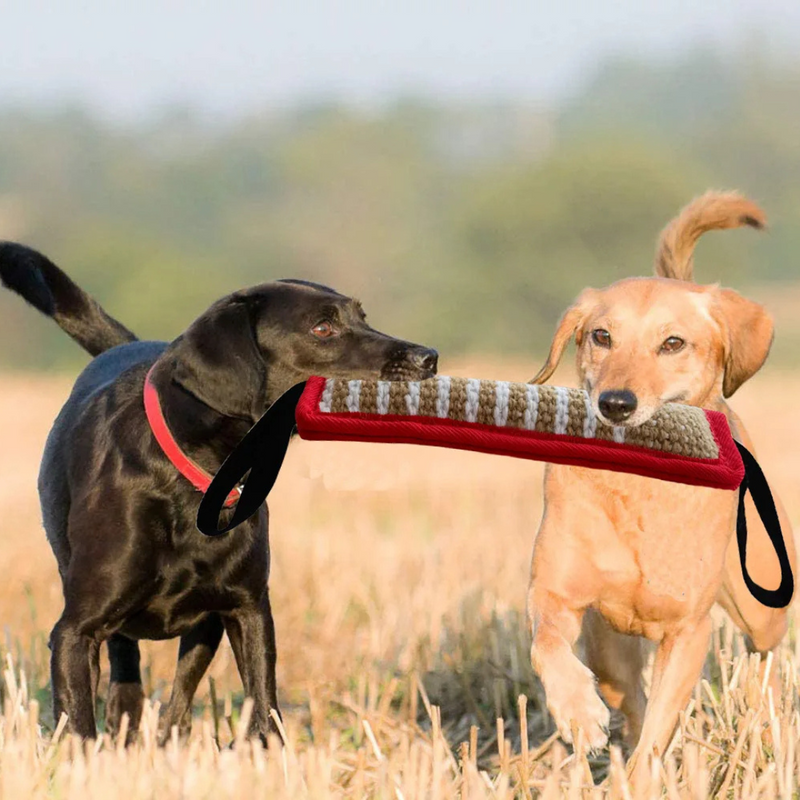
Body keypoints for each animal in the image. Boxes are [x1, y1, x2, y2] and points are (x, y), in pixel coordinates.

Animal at [0, 241, 438, 740]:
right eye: (322, 328)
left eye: (362, 316)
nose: (429, 357)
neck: (196, 481)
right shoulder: (74, 632)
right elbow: (78, 724)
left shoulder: (248, 610)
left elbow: (264, 709)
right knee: (127, 668)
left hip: (206, 626)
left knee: (177, 701)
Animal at [528, 192, 796, 780]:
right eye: (601, 336)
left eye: (673, 343)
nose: (616, 403)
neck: (641, 492)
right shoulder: (556, 592)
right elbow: (548, 646)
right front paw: (579, 714)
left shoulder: (688, 631)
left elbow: (659, 729)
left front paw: (640, 780)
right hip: (609, 649)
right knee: (625, 693)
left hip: (760, 608)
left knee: (765, 657)